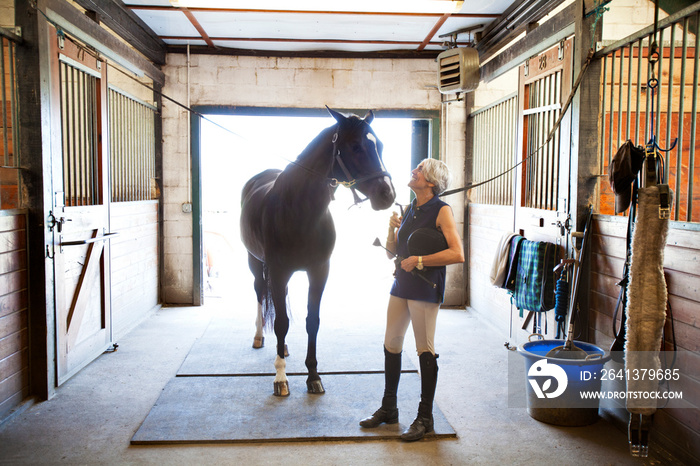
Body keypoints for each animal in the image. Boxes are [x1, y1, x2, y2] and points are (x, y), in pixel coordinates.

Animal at [239, 107, 394, 396]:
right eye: (355, 146)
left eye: (378, 145)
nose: (387, 194)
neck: (300, 211)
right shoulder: (278, 271)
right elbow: (281, 322)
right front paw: (281, 379)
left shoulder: (319, 271)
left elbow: (312, 321)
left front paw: (313, 376)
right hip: (256, 263)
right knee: (260, 294)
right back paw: (259, 337)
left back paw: (283, 347)